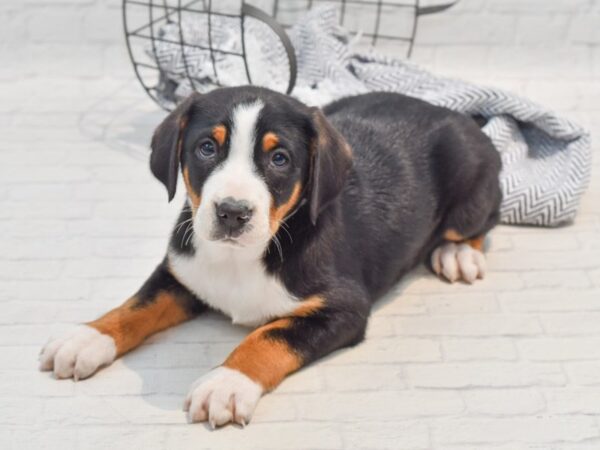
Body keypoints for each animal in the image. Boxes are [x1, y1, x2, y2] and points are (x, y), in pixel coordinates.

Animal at [39, 86, 504, 428]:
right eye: (206, 148)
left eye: (279, 158)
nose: (232, 212)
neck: (240, 258)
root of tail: (455, 114)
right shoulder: (180, 270)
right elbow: (136, 305)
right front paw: (87, 338)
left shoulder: (343, 308)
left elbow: (269, 336)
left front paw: (226, 383)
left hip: (470, 187)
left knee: (486, 217)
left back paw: (458, 253)